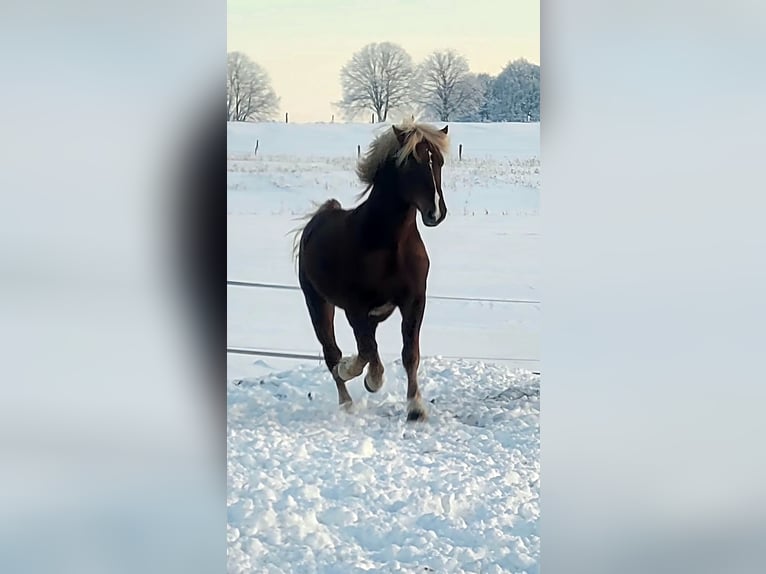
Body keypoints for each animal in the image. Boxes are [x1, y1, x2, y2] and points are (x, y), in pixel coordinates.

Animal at [294, 121, 449, 421]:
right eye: (410, 163)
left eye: (439, 161)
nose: (436, 213)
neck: (389, 244)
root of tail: (316, 220)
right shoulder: (356, 308)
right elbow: (366, 352)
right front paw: (367, 378)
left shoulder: (414, 302)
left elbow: (409, 353)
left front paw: (415, 408)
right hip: (317, 303)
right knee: (332, 351)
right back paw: (346, 402)